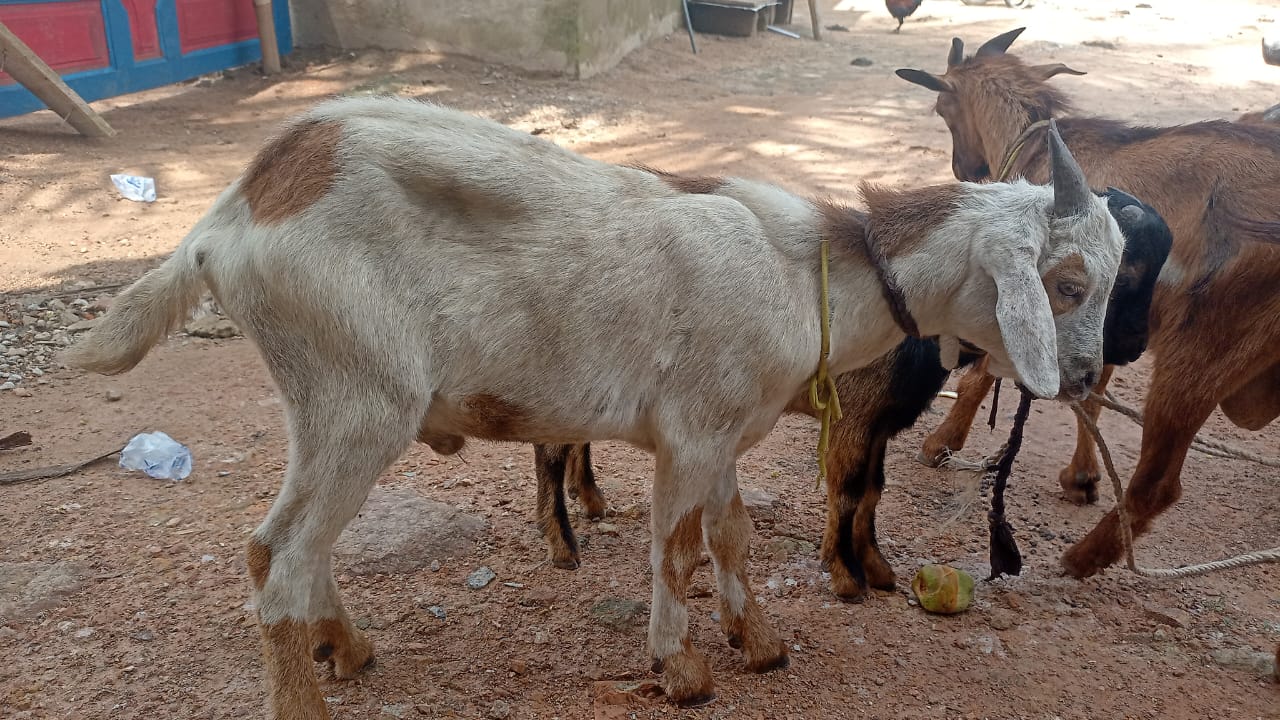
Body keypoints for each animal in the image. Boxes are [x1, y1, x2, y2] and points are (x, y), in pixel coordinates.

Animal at [535, 189, 1171, 599]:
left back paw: (590, 501)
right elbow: (847, 491)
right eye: (1074, 284)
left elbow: (872, 491)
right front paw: (847, 579)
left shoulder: (879, 423)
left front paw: (874, 567)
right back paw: (562, 544)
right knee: (550, 448)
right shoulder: (855, 415)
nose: (1132, 348)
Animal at [896, 28, 1280, 581]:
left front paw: (941, 443)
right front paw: (1082, 478)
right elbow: (1090, 392)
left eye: (943, 108)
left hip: (1200, 351)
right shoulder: (1099, 321)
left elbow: (984, 375)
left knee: (1158, 485)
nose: (964, 168)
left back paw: (1081, 558)